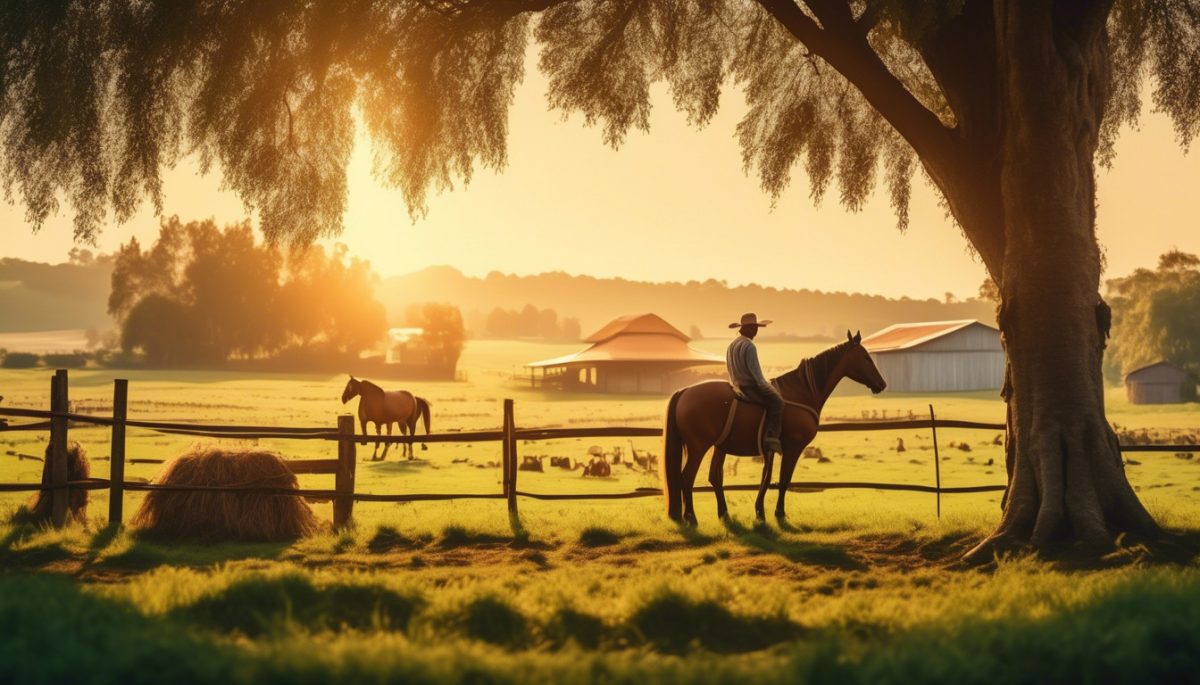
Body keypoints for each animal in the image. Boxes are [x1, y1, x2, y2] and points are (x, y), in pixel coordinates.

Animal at [662, 333, 888, 525]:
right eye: (866, 357)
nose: (882, 384)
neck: (802, 392)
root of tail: (684, 391)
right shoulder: (793, 447)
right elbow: (783, 480)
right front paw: (779, 513)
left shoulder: (771, 450)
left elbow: (767, 477)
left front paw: (760, 512)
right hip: (699, 448)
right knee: (687, 478)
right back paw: (691, 517)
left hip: (719, 447)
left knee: (714, 477)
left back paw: (723, 514)